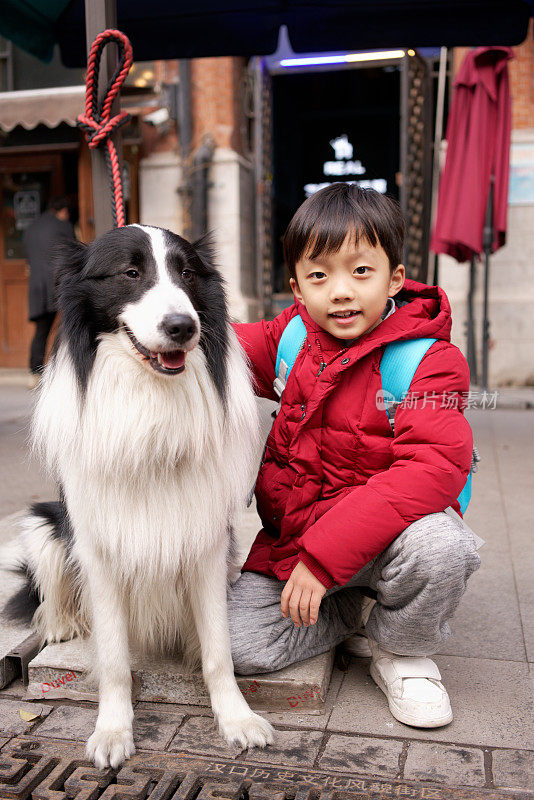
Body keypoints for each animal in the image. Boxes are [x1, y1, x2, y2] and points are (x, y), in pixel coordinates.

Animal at [2, 225, 274, 768]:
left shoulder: (206, 540)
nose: (182, 327)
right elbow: (113, 659)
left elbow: (218, 650)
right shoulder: (98, 546)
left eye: (186, 273)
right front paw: (113, 731)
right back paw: (60, 623)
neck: (150, 396)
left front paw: (236, 719)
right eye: (130, 273)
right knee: (49, 591)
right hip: (43, 524)